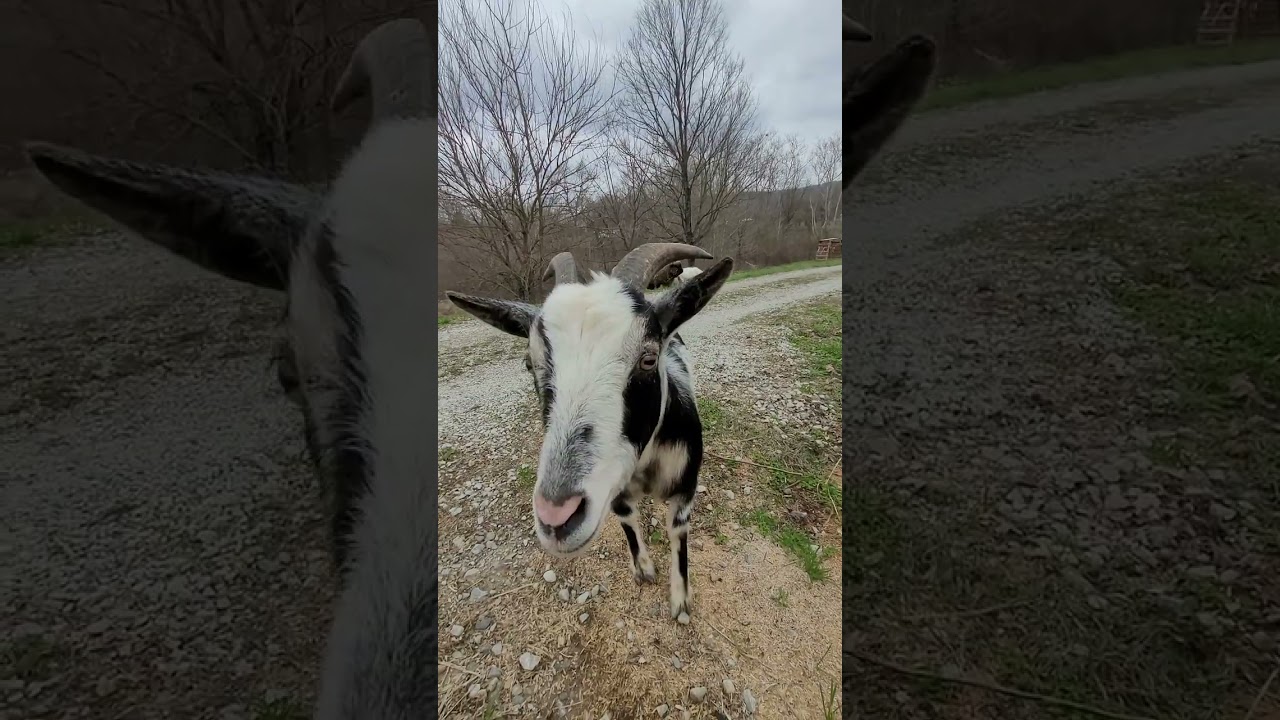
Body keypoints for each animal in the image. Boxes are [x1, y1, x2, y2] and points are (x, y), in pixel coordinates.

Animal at [447, 244, 731, 622]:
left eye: (649, 358)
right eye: (529, 363)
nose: (557, 519)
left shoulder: (685, 488)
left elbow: (678, 532)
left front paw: (681, 601)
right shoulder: (614, 489)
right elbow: (628, 520)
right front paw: (643, 569)